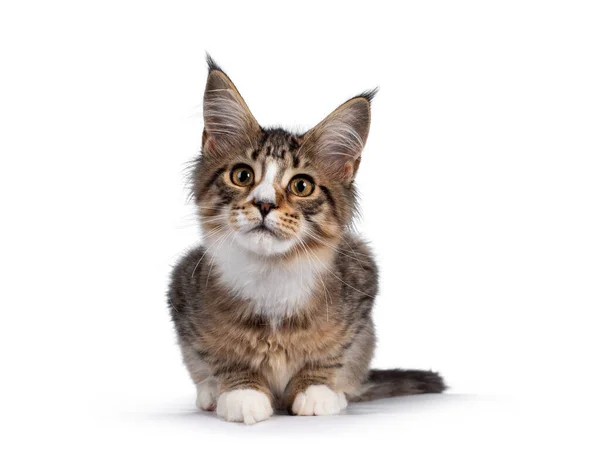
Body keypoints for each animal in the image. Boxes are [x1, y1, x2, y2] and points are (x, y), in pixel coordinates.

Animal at [169, 56, 446, 426]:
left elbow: (332, 354)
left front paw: (315, 391)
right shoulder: (183, 290)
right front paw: (242, 392)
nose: (264, 204)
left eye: (301, 186)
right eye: (242, 175)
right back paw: (211, 394)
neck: (272, 273)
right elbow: (220, 355)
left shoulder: (362, 290)